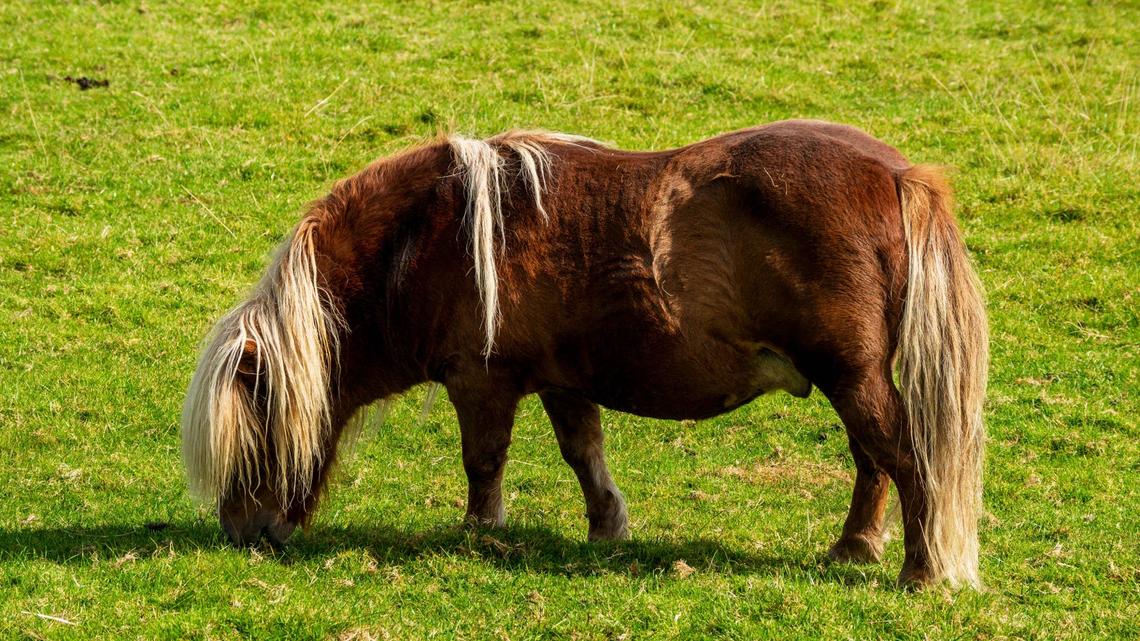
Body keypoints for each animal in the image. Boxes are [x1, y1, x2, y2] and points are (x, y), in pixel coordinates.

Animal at [181, 119, 988, 589]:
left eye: (256, 427)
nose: (244, 533)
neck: (431, 235)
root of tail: (898, 176)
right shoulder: (561, 380)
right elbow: (583, 453)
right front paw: (606, 528)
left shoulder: (481, 380)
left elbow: (483, 461)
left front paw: (480, 534)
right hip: (851, 380)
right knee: (873, 460)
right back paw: (855, 547)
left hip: (851, 376)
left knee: (902, 457)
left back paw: (920, 572)